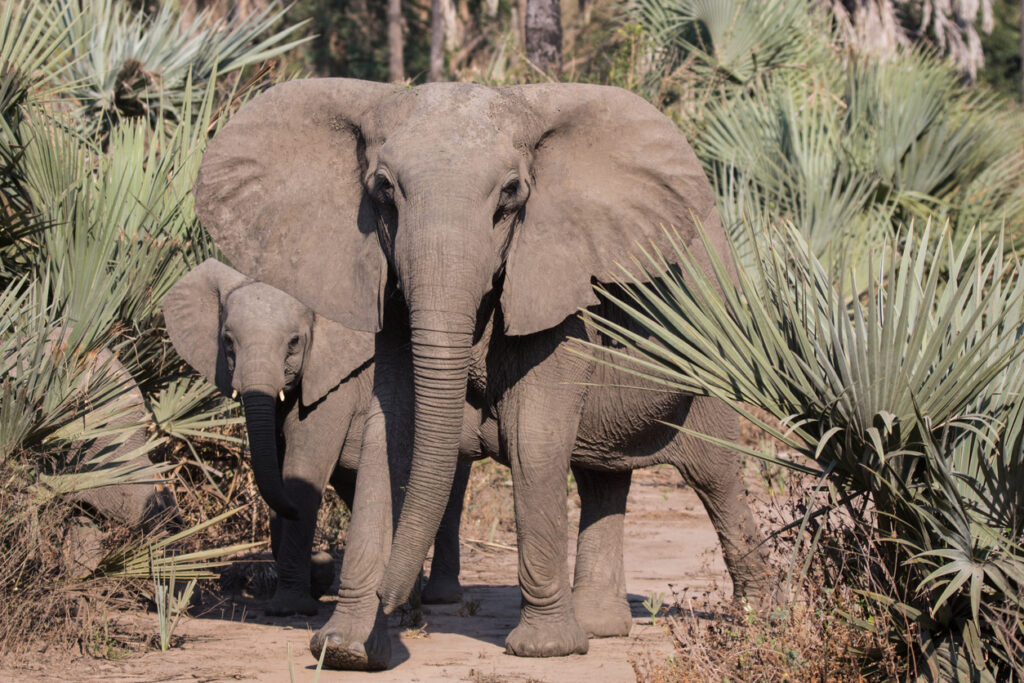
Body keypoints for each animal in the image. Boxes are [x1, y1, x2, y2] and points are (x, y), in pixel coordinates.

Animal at [163, 259, 471, 618]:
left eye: (294, 342)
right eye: (227, 341)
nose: (321, 560)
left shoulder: (337, 385)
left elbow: (302, 471)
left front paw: (289, 608)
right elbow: (277, 467)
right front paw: (313, 580)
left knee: (450, 492)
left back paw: (437, 598)